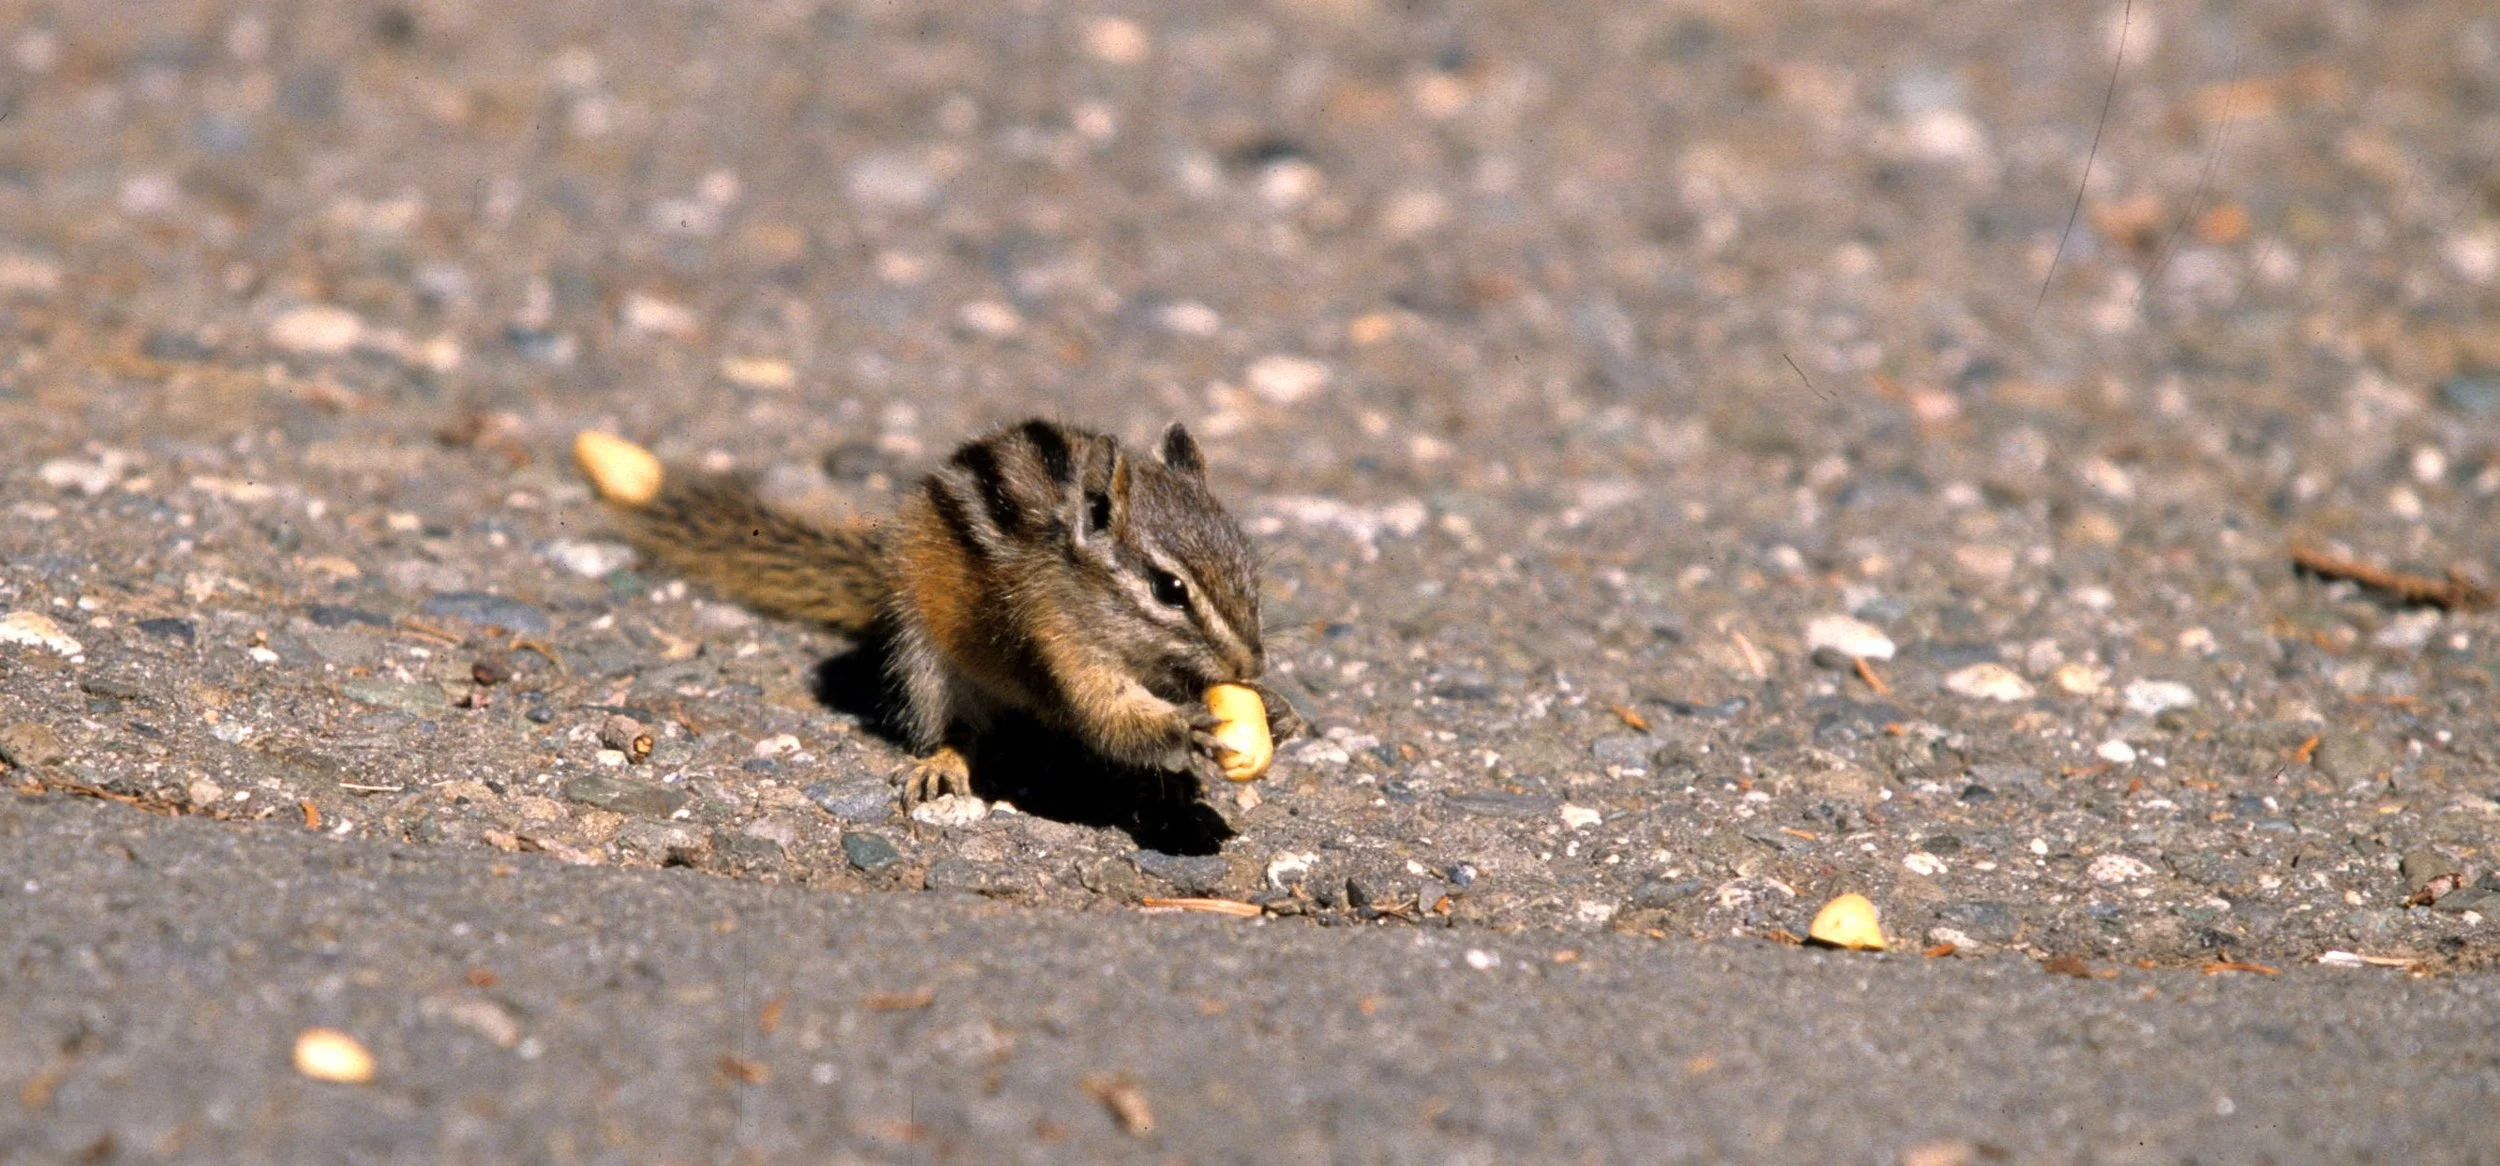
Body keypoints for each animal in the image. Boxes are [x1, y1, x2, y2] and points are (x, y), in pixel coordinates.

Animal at [586, 418, 1304, 806]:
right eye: (1169, 589)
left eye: (1250, 569)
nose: (1250, 663)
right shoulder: (1056, 644)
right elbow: (1108, 718)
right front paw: (1189, 728)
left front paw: (1279, 711)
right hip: (923, 658)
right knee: (957, 727)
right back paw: (943, 764)